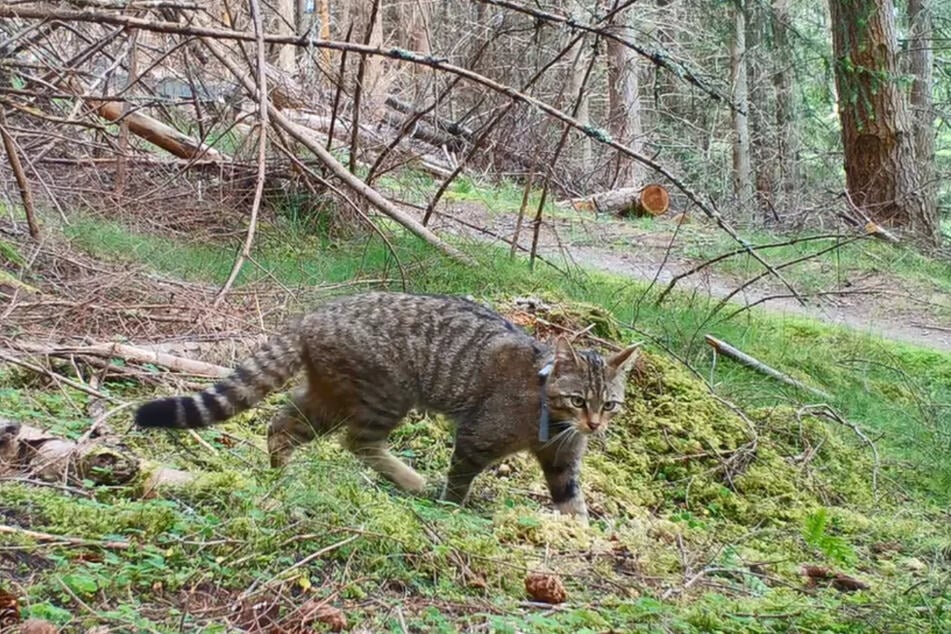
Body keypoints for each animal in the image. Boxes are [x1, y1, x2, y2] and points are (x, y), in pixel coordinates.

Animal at [132, 292, 640, 520]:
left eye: (611, 404)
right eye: (578, 400)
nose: (595, 425)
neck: (553, 422)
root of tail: (314, 314)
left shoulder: (563, 461)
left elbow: (573, 500)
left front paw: (583, 534)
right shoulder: (477, 435)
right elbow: (459, 480)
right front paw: (452, 507)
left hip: (330, 398)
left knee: (281, 423)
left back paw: (282, 475)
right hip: (388, 394)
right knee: (358, 442)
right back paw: (410, 480)